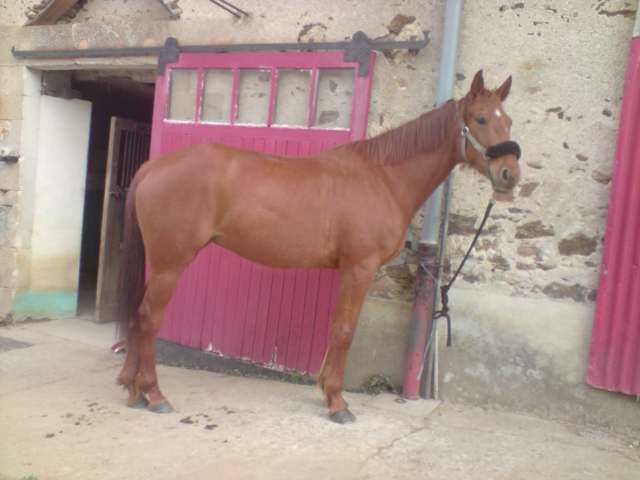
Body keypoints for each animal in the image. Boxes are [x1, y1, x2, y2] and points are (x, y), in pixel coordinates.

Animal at [115, 69, 521, 424]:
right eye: (481, 119)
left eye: (509, 121)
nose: (509, 176)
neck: (383, 176)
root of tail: (153, 167)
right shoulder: (360, 268)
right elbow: (344, 330)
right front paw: (338, 402)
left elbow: (335, 328)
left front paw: (325, 389)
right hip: (171, 263)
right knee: (149, 317)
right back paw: (154, 394)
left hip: (160, 262)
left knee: (139, 313)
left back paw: (133, 389)